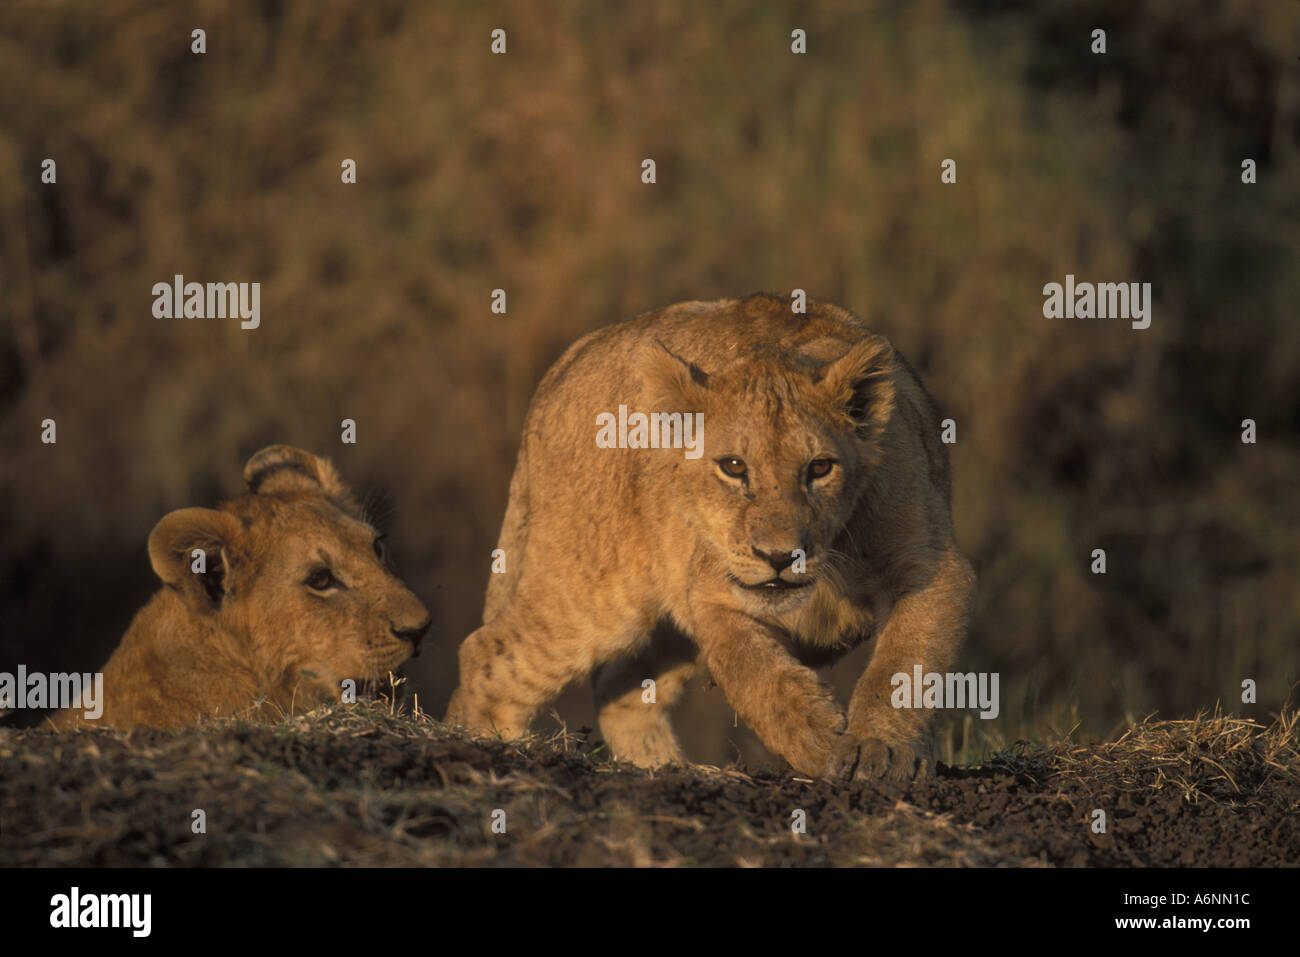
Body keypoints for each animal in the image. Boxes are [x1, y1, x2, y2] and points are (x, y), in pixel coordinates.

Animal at [445, 294, 976, 782]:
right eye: (734, 467)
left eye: (820, 468)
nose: (780, 556)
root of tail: (571, 359)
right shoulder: (706, 592)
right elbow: (753, 672)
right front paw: (818, 739)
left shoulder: (930, 568)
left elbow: (904, 664)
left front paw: (876, 750)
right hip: (591, 594)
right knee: (485, 651)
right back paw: (494, 749)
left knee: (617, 686)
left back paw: (666, 768)